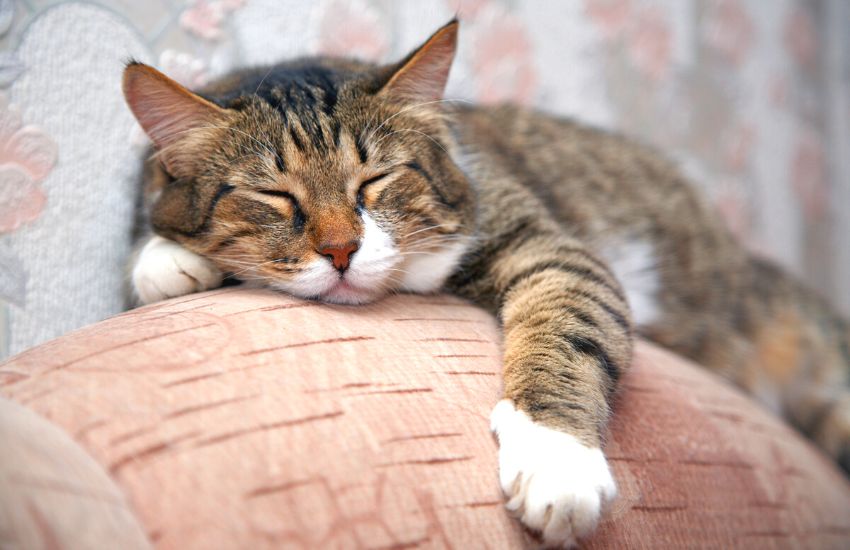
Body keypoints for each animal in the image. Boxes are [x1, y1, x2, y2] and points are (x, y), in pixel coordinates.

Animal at [121, 19, 848, 548]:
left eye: (375, 181)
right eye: (275, 196)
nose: (341, 250)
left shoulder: (548, 246)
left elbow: (571, 330)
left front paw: (557, 460)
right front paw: (167, 259)